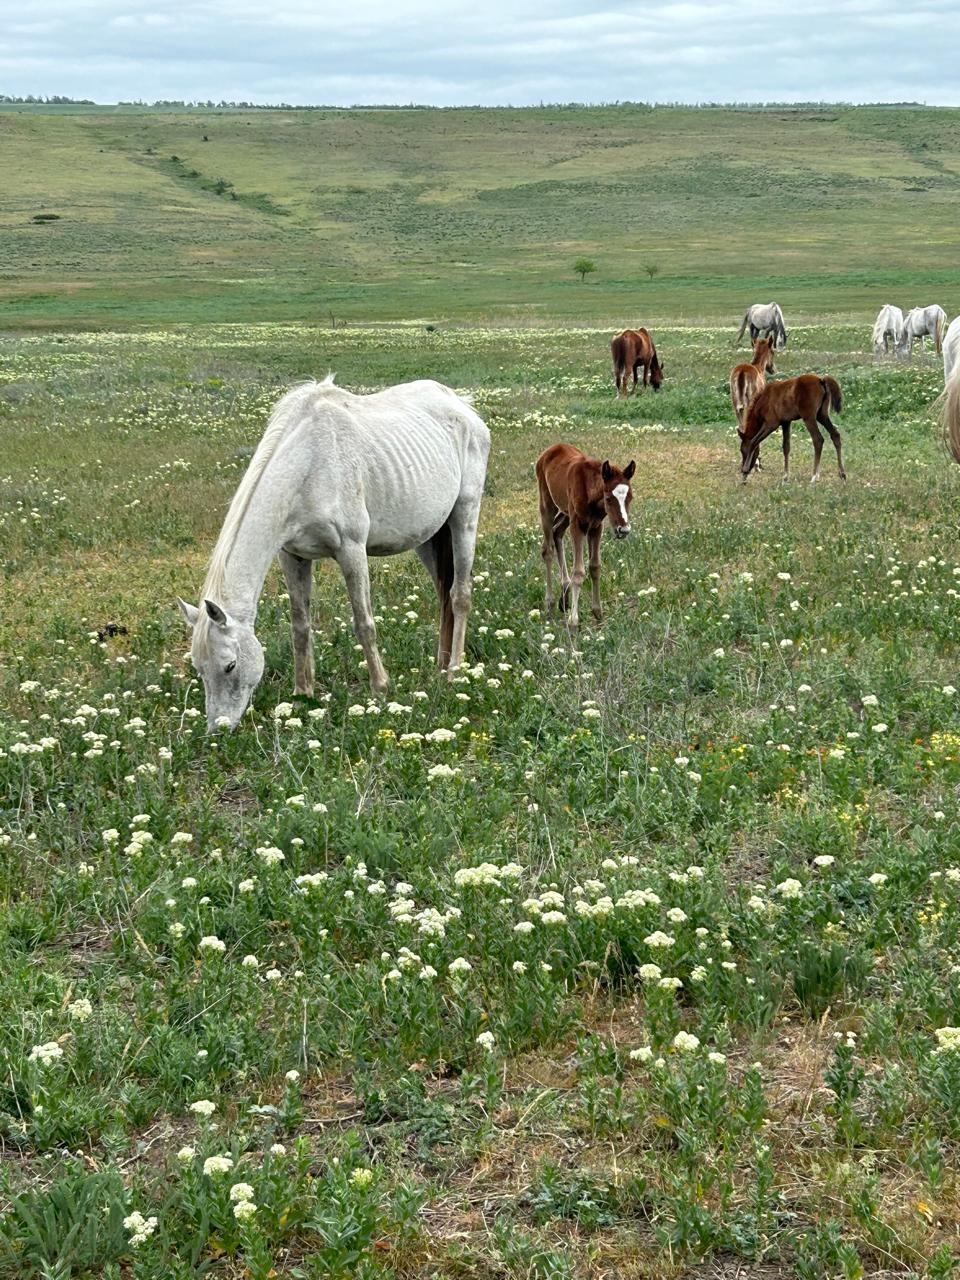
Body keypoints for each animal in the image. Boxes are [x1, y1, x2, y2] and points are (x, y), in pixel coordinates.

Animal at [179, 376, 491, 732]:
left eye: (230, 666)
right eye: (199, 669)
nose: (218, 729)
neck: (309, 464)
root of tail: (463, 407)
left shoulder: (351, 549)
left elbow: (364, 623)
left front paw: (380, 689)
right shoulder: (292, 556)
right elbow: (300, 626)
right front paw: (302, 693)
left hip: (464, 514)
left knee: (459, 595)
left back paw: (454, 671)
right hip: (428, 536)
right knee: (443, 597)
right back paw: (440, 666)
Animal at [537, 445, 634, 629]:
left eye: (630, 497)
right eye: (608, 498)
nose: (623, 530)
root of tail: (549, 450)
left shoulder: (596, 527)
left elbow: (595, 566)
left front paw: (598, 613)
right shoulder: (578, 526)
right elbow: (579, 572)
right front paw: (573, 621)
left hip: (566, 512)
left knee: (557, 531)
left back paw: (564, 595)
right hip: (547, 505)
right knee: (547, 549)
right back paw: (550, 602)